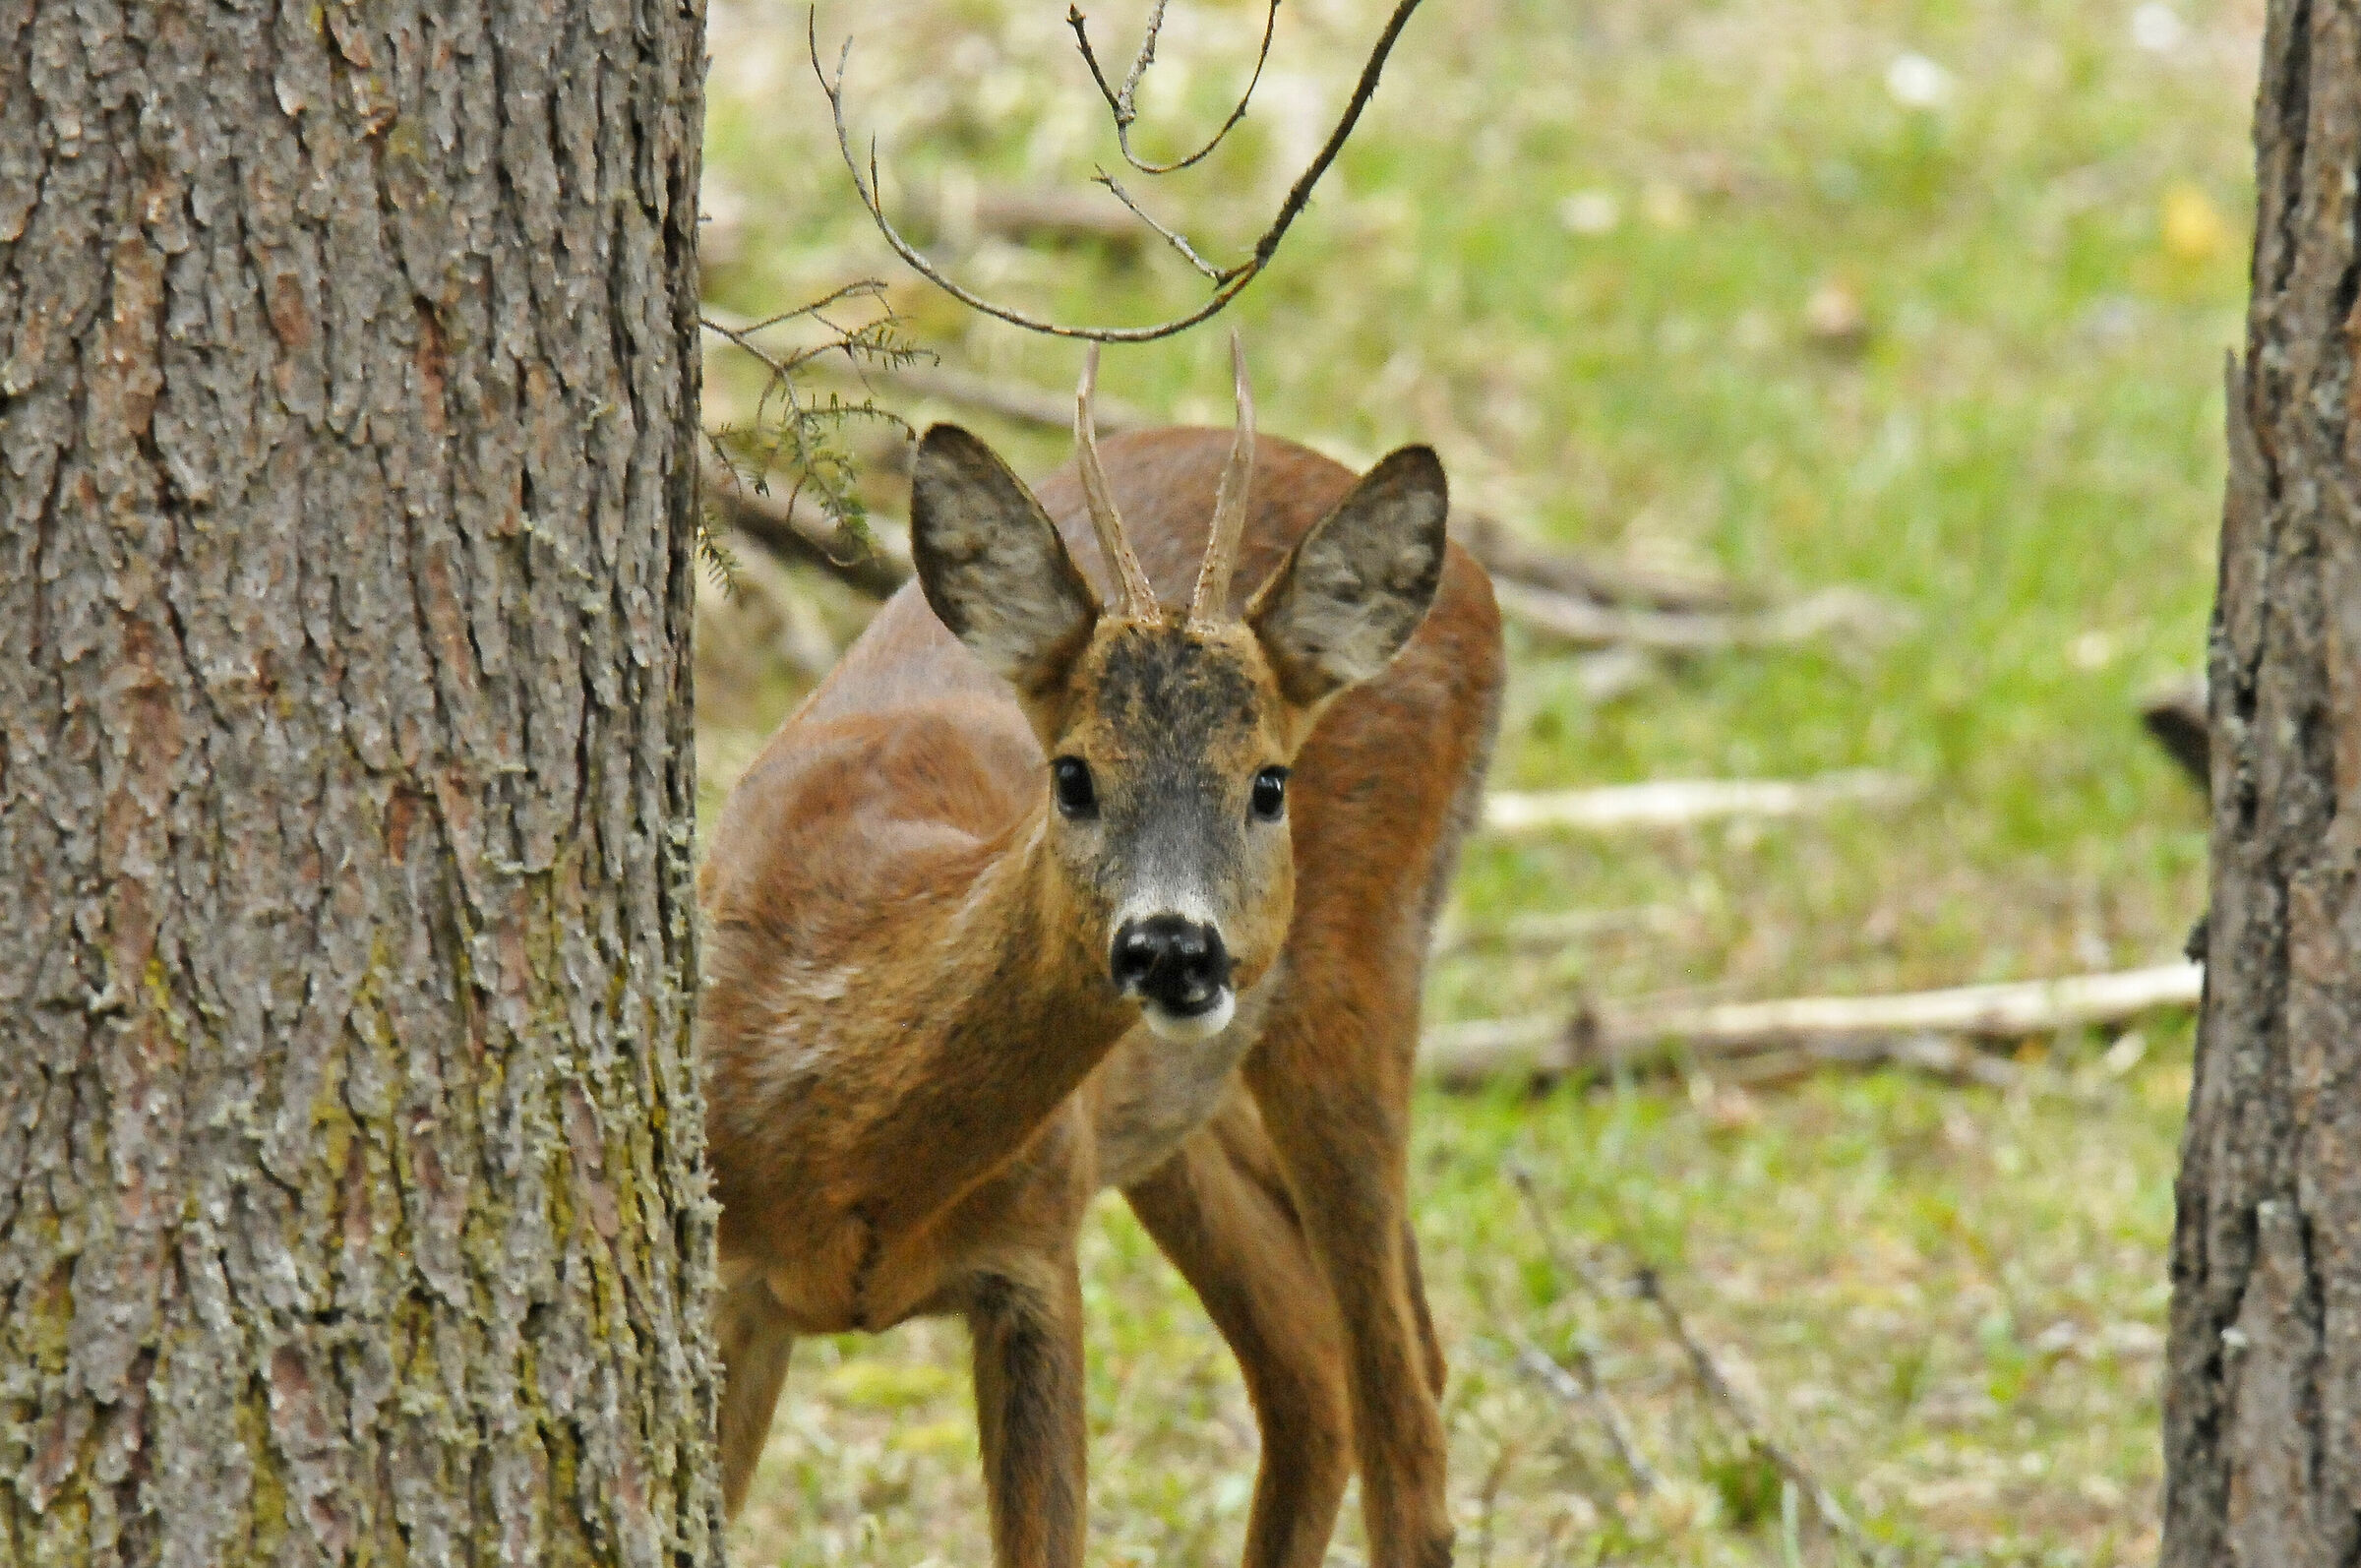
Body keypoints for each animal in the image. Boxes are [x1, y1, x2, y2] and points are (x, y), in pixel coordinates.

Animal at [696, 334, 1504, 1568]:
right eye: (1072, 774)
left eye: (1269, 783)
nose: (1173, 947)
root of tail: (1479, 586)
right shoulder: (729, 1279)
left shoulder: (1035, 1258)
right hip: (1176, 1113)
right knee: (1317, 1367)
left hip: (1359, 968)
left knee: (1402, 1416)